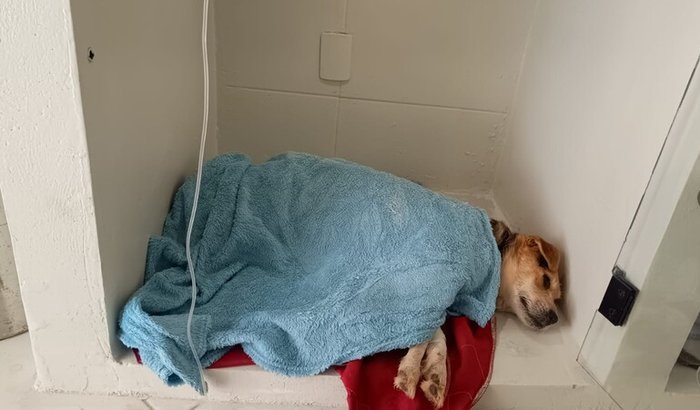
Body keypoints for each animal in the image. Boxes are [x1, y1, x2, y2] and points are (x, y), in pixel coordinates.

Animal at [393, 219, 562, 408]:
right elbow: (424, 334)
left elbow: (437, 334)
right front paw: (411, 368)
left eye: (557, 298)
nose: (554, 318)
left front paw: (437, 370)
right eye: (546, 281)